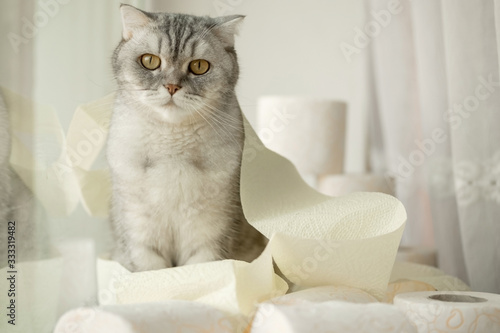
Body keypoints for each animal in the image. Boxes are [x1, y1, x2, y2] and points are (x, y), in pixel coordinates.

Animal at [108, 3, 268, 272]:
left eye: (199, 66)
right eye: (150, 61)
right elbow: (150, 272)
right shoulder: (138, 231)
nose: (172, 87)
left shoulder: (211, 233)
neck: (172, 147)